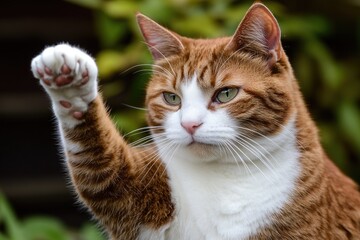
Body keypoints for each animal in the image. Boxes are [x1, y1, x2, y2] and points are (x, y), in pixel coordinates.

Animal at [31, 2, 360, 240]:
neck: (226, 178)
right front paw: (70, 85)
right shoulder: (138, 197)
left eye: (226, 93)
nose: (189, 125)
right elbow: (101, 169)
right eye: (171, 98)